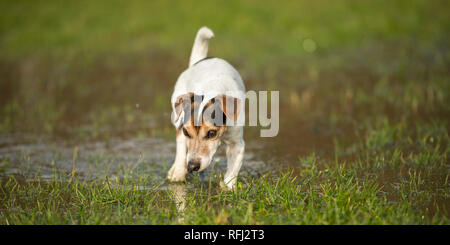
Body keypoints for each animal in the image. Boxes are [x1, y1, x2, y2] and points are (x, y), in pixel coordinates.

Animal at [168, 26, 246, 189]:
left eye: (211, 133)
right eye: (187, 132)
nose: (192, 166)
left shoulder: (237, 143)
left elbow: (233, 168)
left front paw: (228, 186)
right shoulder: (182, 130)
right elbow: (181, 148)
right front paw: (178, 173)